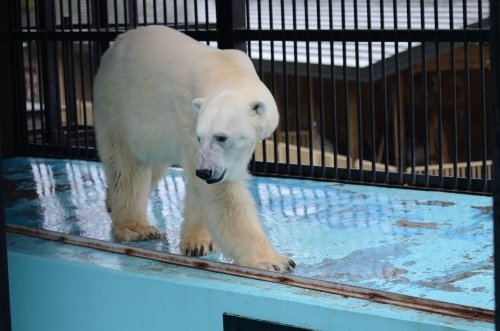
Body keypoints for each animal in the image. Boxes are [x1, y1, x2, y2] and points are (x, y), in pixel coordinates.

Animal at [94, 26, 294, 274]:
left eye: (222, 137)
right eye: (202, 137)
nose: (205, 171)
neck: (226, 69)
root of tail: (112, 49)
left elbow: (206, 188)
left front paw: (200, 242)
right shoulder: (189, 119)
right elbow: (222, 194)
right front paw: (274, 261)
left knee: (153, 165)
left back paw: (111, 200)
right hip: (119, 107)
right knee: (127, 167)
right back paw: (136, 228)